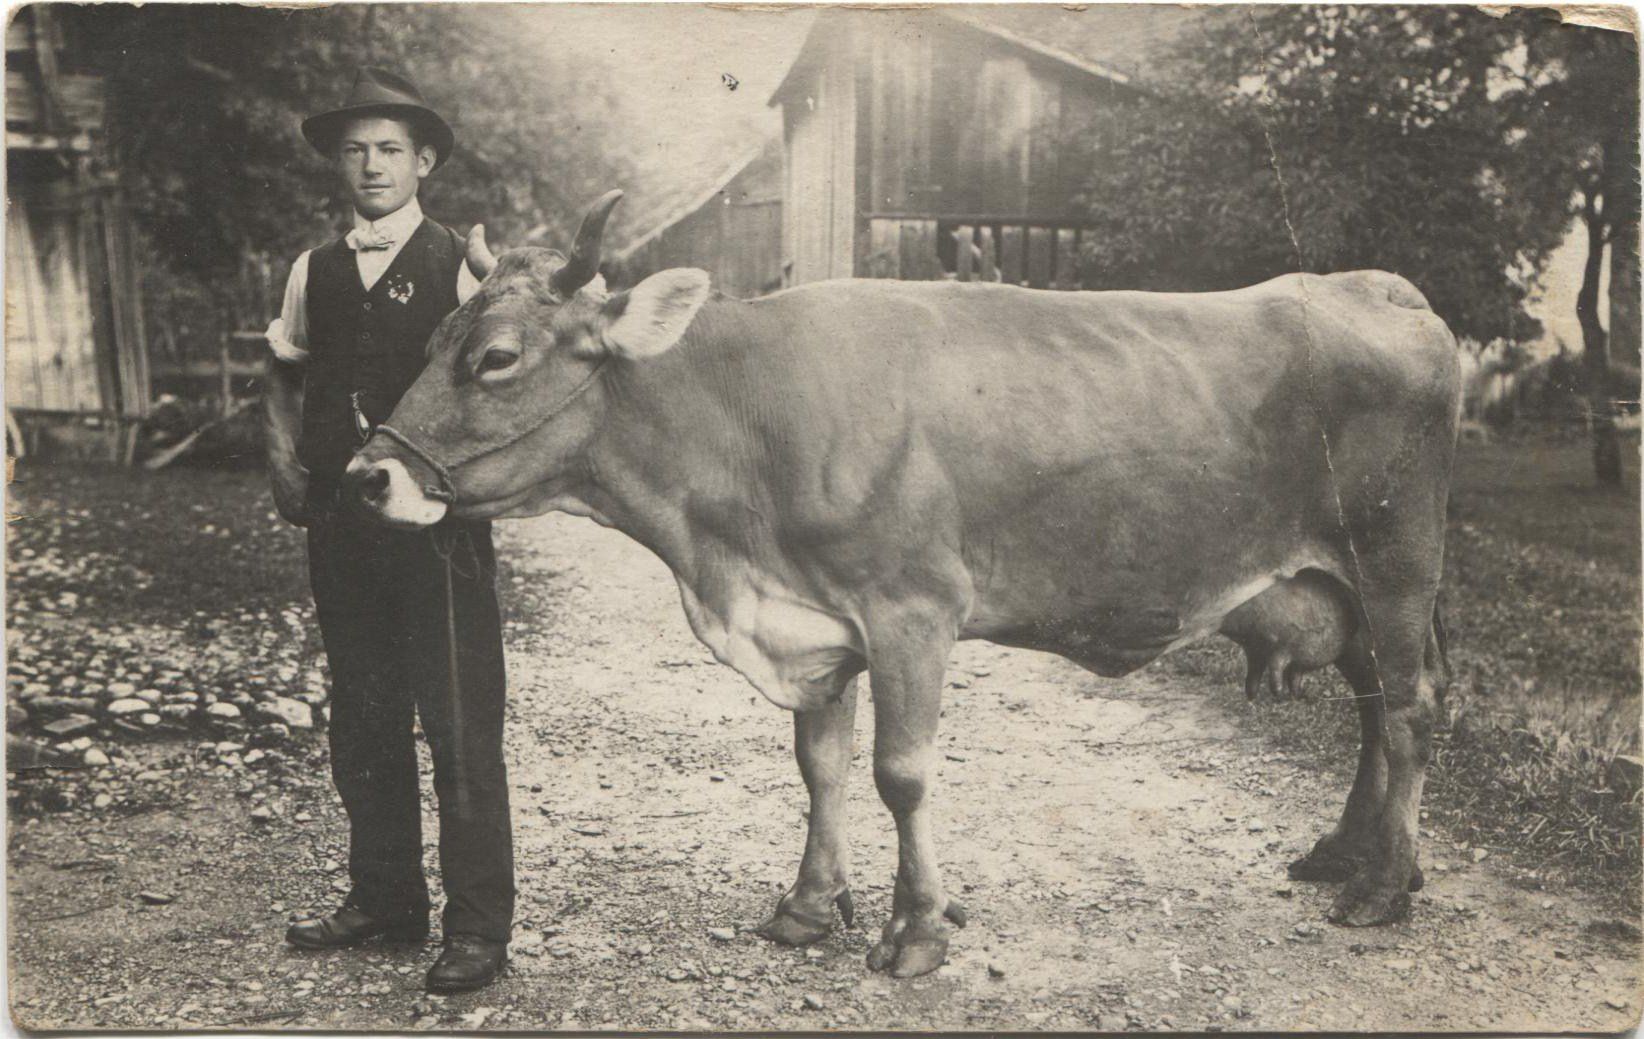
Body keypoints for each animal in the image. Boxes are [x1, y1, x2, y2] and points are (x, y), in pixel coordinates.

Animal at [345, 190, 1461, 978]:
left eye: (496, 357)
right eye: (430, 341)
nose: (366, 475)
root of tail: (1374, 286)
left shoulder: (912, 610)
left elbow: (901, 773)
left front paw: (917, 930)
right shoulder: (816, 624)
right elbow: (820, 766)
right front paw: (807, 906)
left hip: (1396, 562)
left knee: (1409, 710)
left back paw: (1382, 888)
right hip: (1346, 587)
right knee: (1375, 707)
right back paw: (1348, 853)